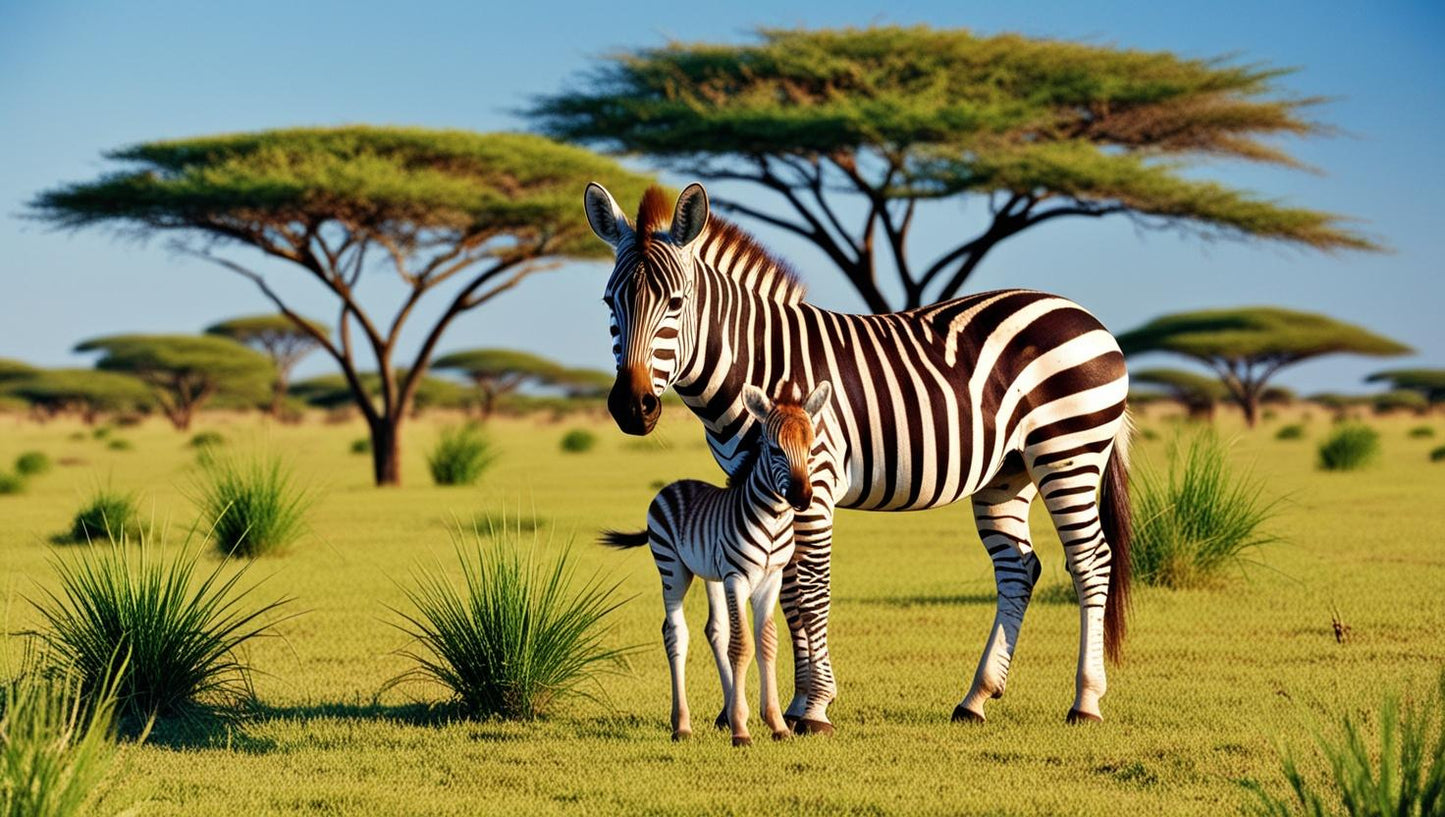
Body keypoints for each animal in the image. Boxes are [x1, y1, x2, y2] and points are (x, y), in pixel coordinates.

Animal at [601, 381, 833, 746]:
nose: (802, 498)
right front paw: (741, 730)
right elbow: (742, 646)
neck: (773, 520)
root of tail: (675, 485)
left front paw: (776, 724)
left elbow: (766, 643)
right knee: (675, 632)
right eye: (774, 449)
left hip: (710, 574)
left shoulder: (770, 578)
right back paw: (681, 725)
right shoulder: (737, 577)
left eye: (810, 448)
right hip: (672, 568)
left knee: (715, 630)